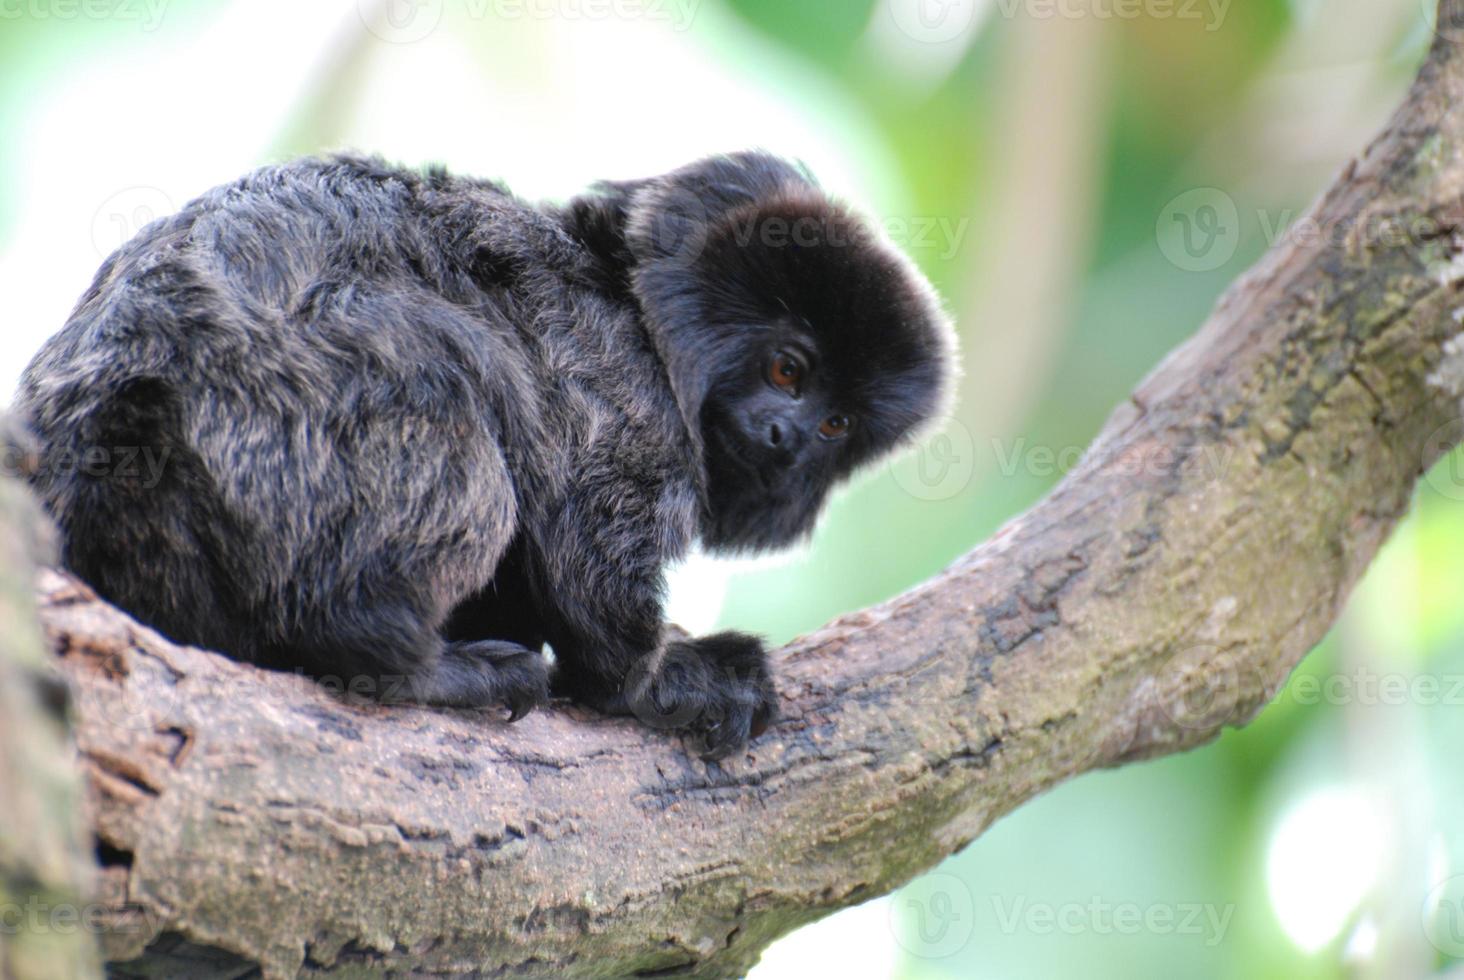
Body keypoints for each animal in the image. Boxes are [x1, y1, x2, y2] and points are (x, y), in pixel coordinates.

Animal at [17, 150, 954, 755]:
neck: (633, 309)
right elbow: (589, 554)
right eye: (787, 369)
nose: (785, 439)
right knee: (449, 372)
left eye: (837, 426)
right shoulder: (618, 382)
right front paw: (670, 678)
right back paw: (413, 664)